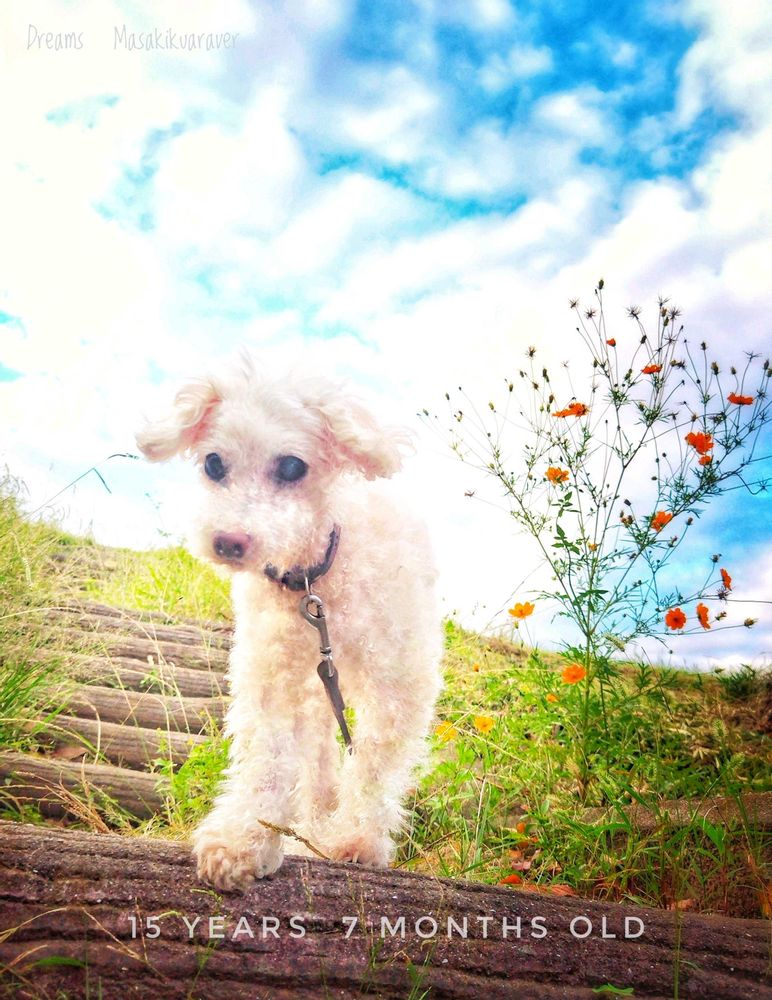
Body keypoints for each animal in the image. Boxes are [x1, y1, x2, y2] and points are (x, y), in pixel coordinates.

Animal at [136, 357, 443, 890]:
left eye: (293, 466)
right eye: (213, 463)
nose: (228, 542)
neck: (315, 580)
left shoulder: (401, 681)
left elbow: (374, 763)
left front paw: (359, 839)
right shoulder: (272, 669)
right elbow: (268, 756)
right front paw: (243, 839)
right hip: (316, 692)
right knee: (317, 766)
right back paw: (313, 826)